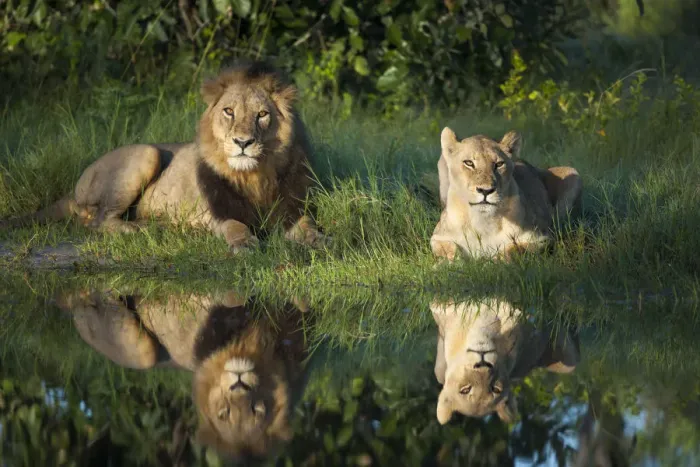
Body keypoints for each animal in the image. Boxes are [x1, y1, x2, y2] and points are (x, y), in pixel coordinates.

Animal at [2, 61, 326, 252]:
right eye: (229, 111)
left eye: (261, 115)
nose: (243, 142)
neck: (254, 176)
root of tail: (74, 188)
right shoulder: (219, 216)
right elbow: (236, 227)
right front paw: (244, 244)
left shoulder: (291, 209)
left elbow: (308, 225)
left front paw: (322, 241)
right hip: (147, 153)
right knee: (99, 222)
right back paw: (146, 228)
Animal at [431, 128, 582, 261]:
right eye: (469, 163)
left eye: (499, 164)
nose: (486, 190)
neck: (483, 223)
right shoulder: (438, 237)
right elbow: (451, 250)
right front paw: (444, 266)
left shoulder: (542, 239)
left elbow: (513, 249)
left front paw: (495, 262)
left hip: (572, 172)